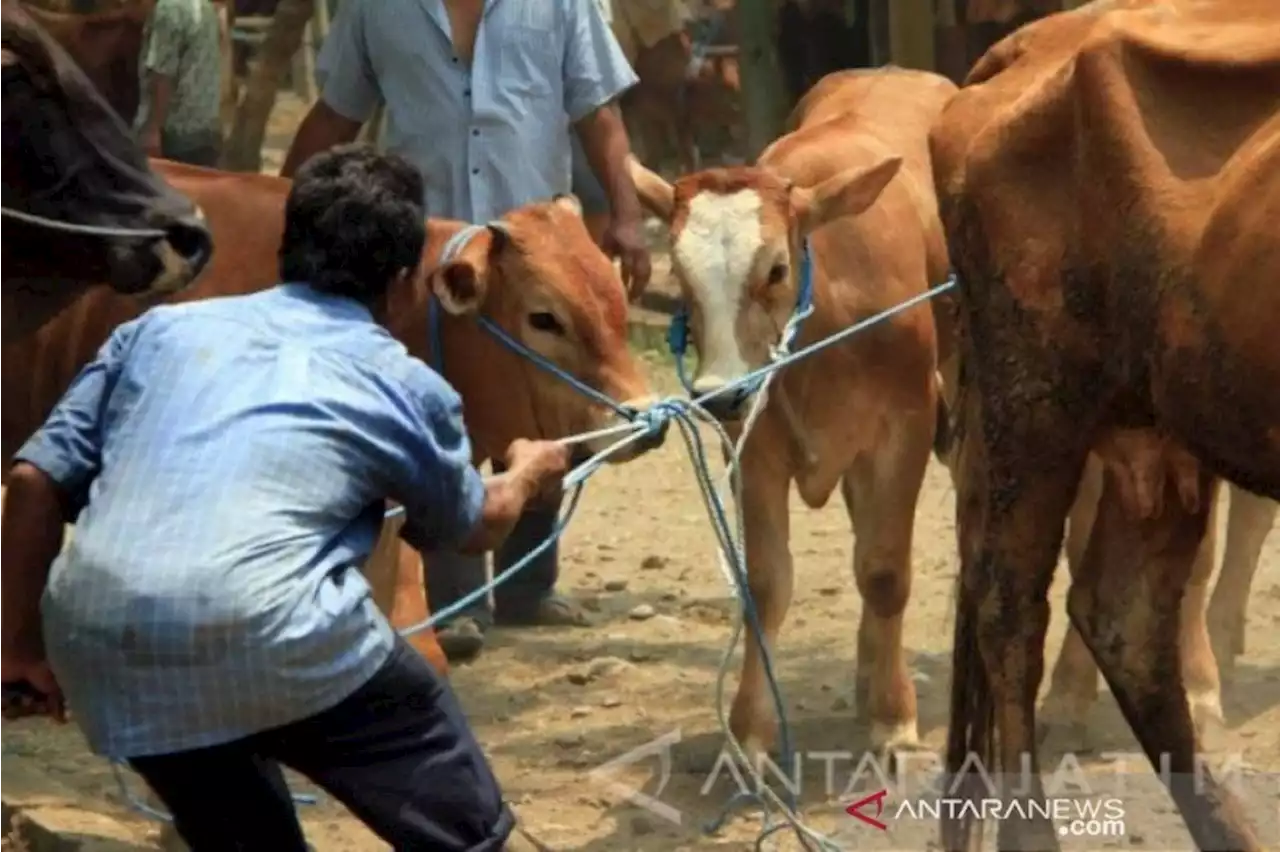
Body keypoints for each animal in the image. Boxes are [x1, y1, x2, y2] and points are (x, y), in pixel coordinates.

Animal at [624, 66, 957, 757]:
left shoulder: (906, 427)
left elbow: (885, 572)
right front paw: (750, 730)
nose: (718, 392)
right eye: (683, 280)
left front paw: (894, 718)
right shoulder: (754, 444)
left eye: (776, 269)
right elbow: (766, 584)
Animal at [936, 3, 1280, 844]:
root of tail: (1036, 40)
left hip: (1157, 428)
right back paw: (1031, 833)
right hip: (1035, 398)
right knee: (1008, 602)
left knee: (1124, 615)